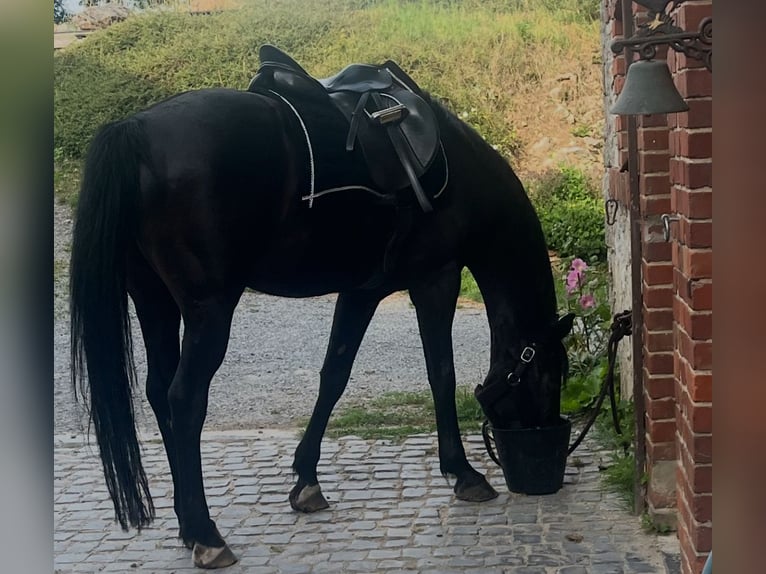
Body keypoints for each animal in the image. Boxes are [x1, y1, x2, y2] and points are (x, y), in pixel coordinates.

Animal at [69, 57, 573, 569]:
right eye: (551, 376)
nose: (548, 444)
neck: (462, 175)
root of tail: (136, 129)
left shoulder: (362, 291)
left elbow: (334, 375)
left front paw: (306, 480)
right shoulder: (436, 279)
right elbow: (441, 373)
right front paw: (463, 471)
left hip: (153, 300)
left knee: (157, 392)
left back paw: (185, 525)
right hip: (208, 310)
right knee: (184, 399)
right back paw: (206, 533)